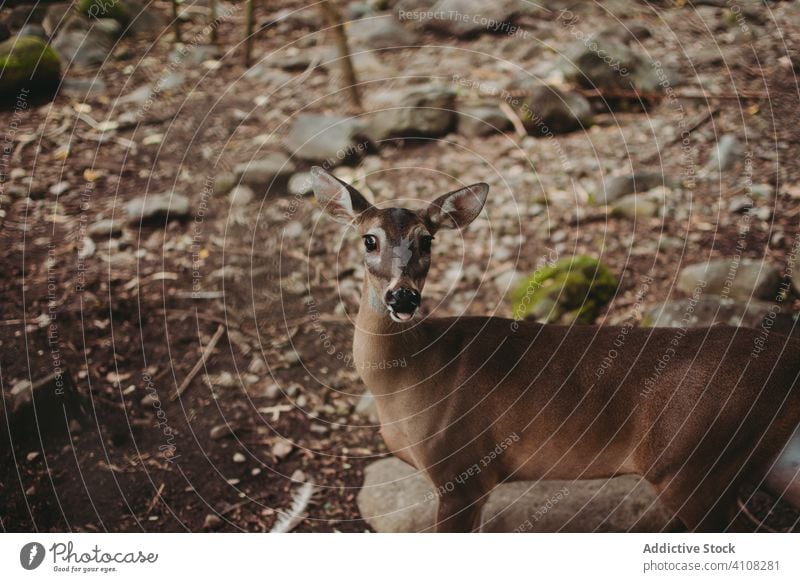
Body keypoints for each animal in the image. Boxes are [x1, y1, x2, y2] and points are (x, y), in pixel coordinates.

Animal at [310, 167, 800, 532]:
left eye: (426, 239)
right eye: (369, 239)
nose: (403, 298)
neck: (407, 378)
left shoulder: (462, 471)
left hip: (692, 461)